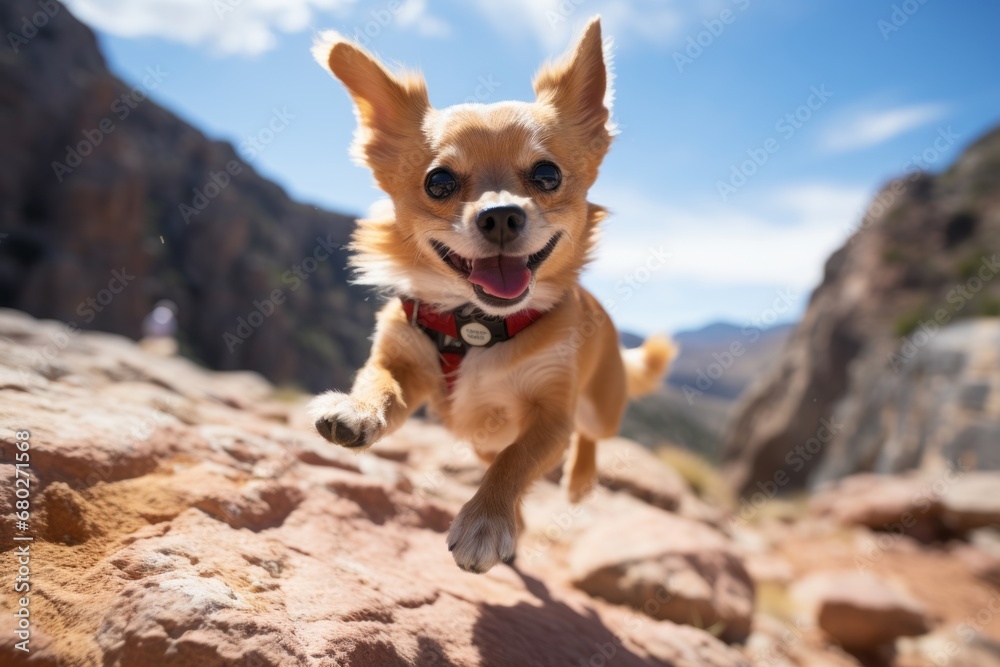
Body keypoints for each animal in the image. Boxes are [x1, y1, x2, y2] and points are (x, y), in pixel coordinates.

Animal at [310, 18, 672, 576]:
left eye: (547, 175)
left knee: (589, 437)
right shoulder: (405, 361)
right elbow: (382, 385)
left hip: (601, 407)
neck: (475, 324)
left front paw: (486, 521)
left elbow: (515, 460)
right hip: (479, 437)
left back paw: (579, 479)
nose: (501, 214)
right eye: (439, 181)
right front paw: (358, 410)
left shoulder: (553, 414)